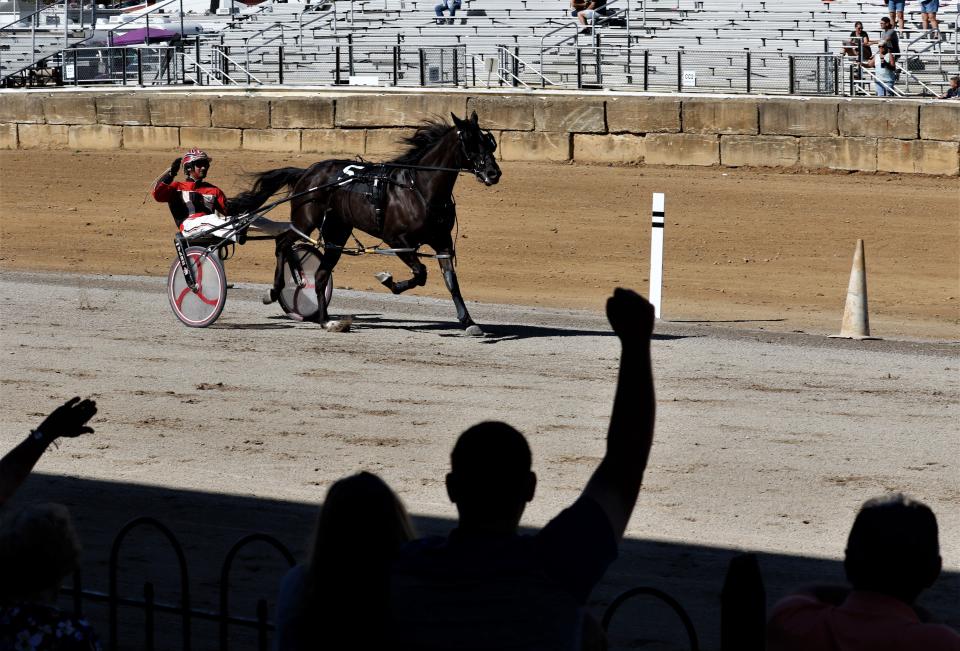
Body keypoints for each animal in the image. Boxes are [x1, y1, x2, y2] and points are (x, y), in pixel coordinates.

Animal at [230, 111, 502, 334]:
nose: (493, 173)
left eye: (489, 141)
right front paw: (388, 280)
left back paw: (326, 321)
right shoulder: (397, 240)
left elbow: (451, 281)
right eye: (470, 142)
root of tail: (307, 171)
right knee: (283, 243)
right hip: (305, 219)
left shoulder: (442, 241)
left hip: (336, 233)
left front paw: (468, 321)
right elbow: (420, 273)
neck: (418, 189)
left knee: (320, 274)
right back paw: (275, 291)